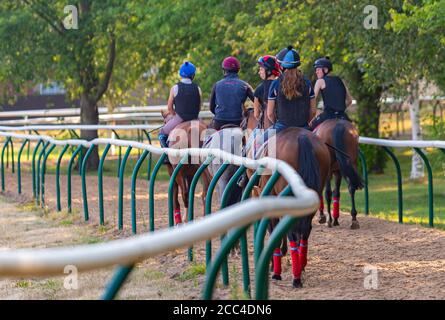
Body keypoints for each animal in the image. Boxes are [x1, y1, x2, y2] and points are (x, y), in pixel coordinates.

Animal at [256, 129, 330, 288]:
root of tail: (302, 138)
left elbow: (274, 231)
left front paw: (275, 269)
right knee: (305, 231)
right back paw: (300, 268)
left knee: (292, 233)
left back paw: (294, 277)